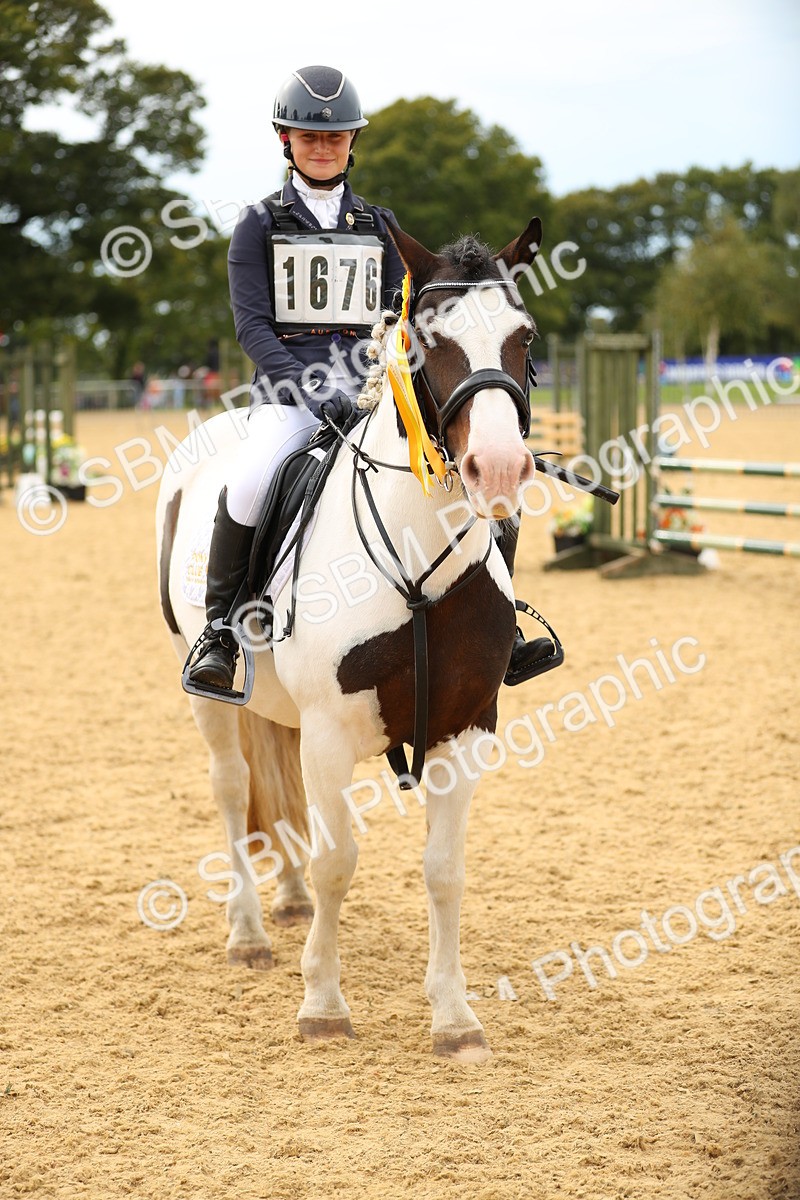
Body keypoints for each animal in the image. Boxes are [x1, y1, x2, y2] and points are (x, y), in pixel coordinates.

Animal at [156, 217, 545, 1063]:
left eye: (524, 334)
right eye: (428, 338)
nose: (499, 467)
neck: (418, 557)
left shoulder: (465, 728)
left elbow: (444, 870)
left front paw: (455, 1018)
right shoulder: (333, 731)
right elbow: (340, 860)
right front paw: (324, 1006)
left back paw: (289, 899)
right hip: (204, 692)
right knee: (233, 786)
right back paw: (248, 931)